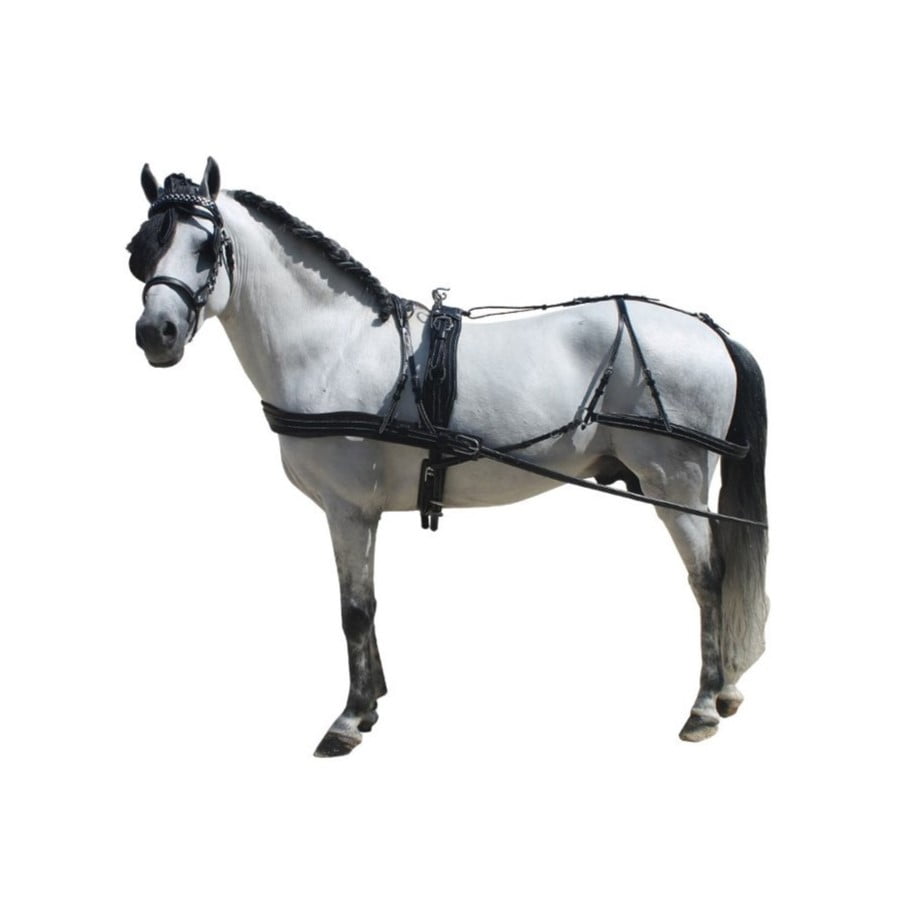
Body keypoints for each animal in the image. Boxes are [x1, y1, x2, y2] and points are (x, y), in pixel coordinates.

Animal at [129, 157, 769, 757]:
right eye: (141, 248)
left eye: (208, 248)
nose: (156, 333)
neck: (335, 347)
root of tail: (711, 333)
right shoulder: (361, 513)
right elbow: (366, 605)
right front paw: (372, 703)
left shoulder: (347, 508)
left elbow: (354, 609)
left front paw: (348, 719)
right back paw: (726, 691)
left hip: (676, 483)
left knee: (708, 577)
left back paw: (704, 705)